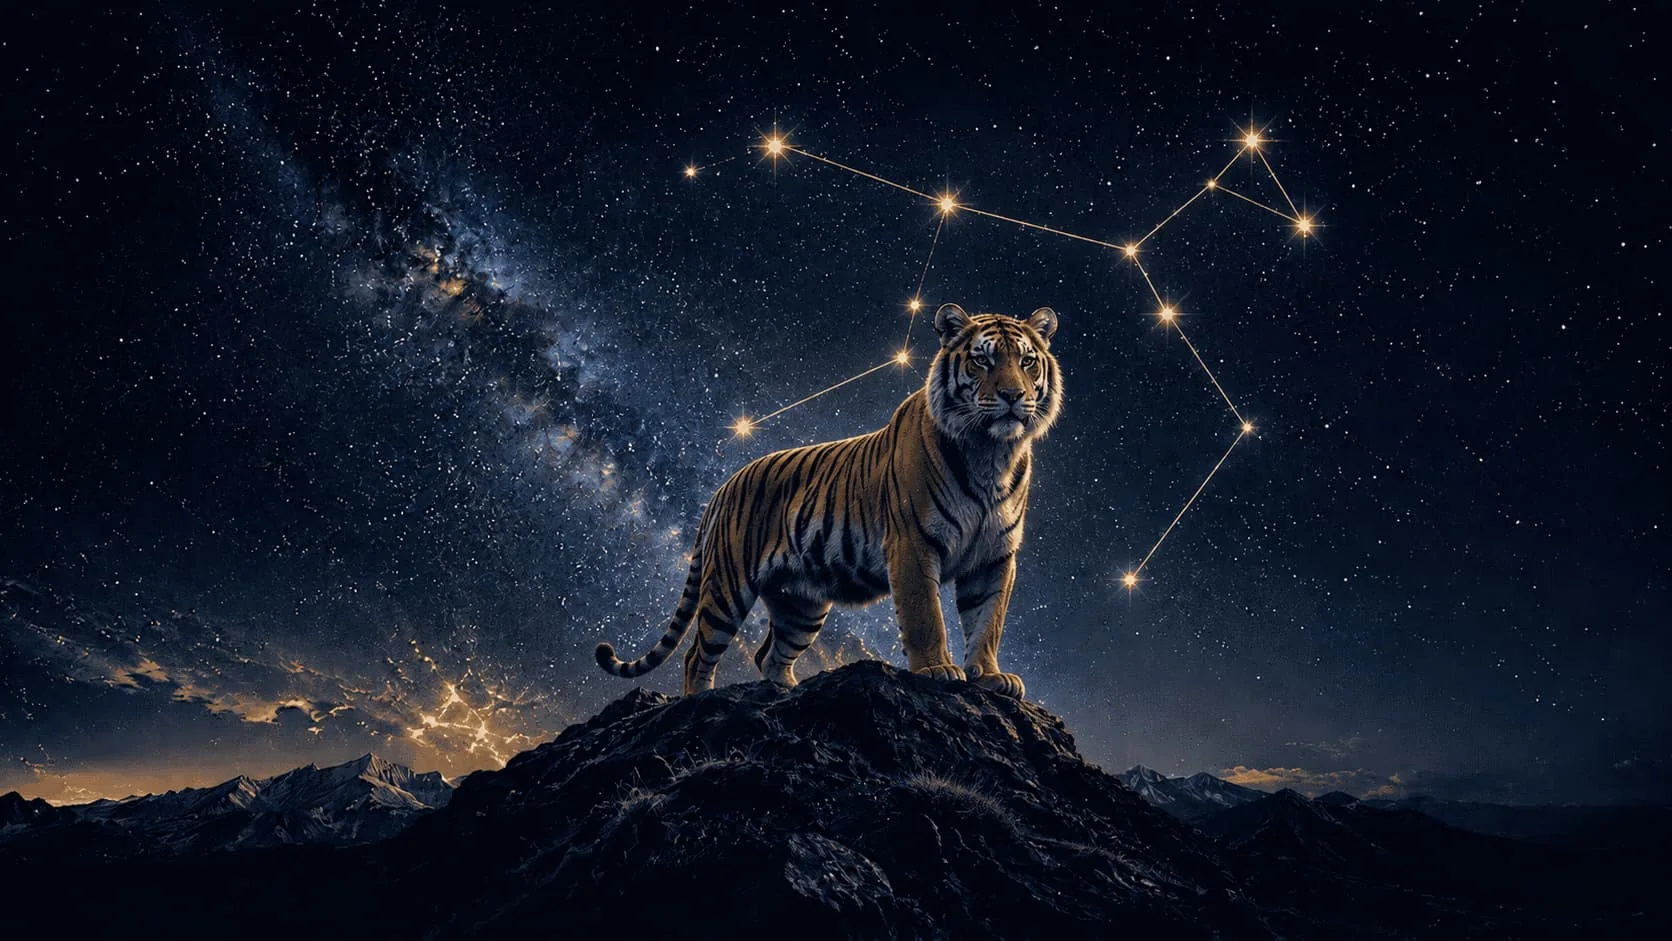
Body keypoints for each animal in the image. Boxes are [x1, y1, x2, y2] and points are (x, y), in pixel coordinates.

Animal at [595, 303, 1063, 699]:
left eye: (1026, 361)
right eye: (982, 359)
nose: (1012, 396)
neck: (992, 454)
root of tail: (724, 486)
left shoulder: (995, 555)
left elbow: (988, 621)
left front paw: (990, 676)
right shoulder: (912, 543)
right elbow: (925, 614)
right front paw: (936, 669)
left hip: (802, 603)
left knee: (770, 655)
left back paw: (787, 693)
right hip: (728, 584)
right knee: (697, 655)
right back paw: (700, 701)